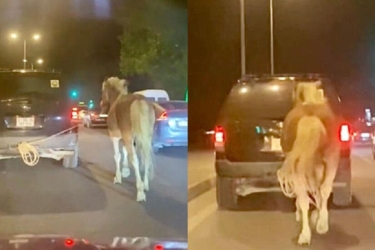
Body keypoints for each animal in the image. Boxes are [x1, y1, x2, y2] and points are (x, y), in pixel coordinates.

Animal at [278, 81, 342, 245]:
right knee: (324, 190)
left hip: (299, 169)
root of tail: (310, 117)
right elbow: (318, 191)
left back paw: (307, 231)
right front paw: (318, 217)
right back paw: (320, 225)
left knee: (305, 198)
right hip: (331, 160)